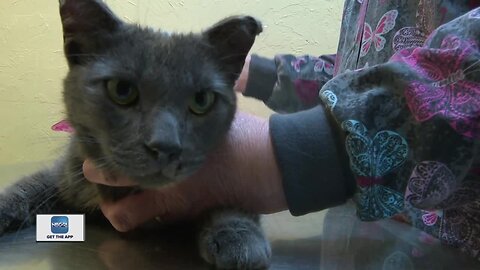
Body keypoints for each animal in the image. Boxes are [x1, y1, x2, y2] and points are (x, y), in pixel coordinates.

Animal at [0, 1, 270, 268]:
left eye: (201, 100)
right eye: (121, 90)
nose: (165, 146)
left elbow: (227, 194)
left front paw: (240, 239)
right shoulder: (69, 170)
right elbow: (30, 185)